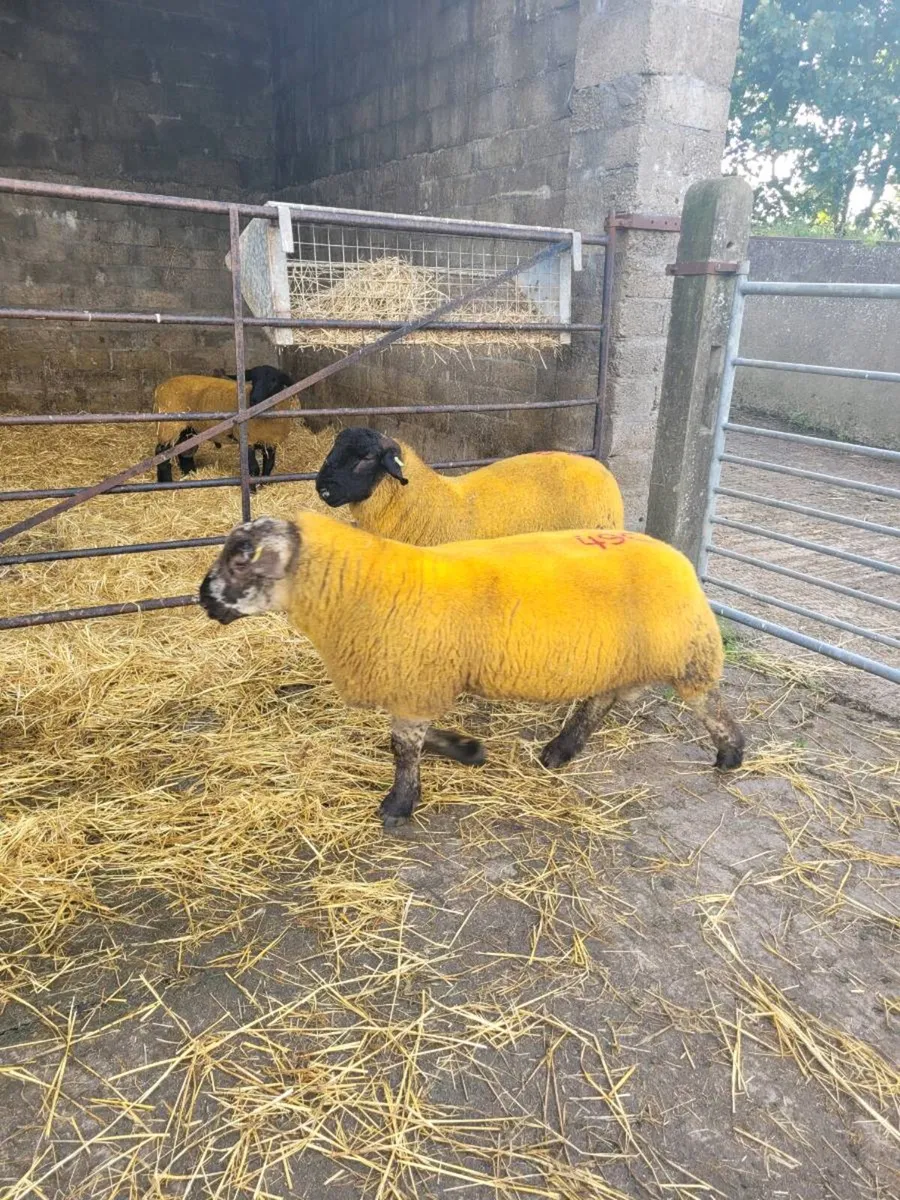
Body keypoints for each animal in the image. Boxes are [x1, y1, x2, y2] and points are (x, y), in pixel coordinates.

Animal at [154, 366, 295, 484]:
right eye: (253, 380)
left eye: (274, 381)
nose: (254, 400)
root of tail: (160, 388)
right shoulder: (247, 440)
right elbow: (253, 469)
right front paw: (253, 491)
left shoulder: (271, 442)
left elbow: (268, 467)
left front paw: (263, 485)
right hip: (169, 426)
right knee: (161, 453)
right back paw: (166, 482)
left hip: (187, 429)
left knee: (184, 453)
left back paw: (190, 475)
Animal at [199, 513, 745, 829]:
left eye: (241, 561)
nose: (203, 599)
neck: (364, 588)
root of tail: (680, 559)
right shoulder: (419, 682)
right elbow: (410, 740)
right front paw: (466, 749)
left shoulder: (415, 680)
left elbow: (402, 749)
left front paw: (398, 805)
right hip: (617, 658)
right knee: (600, 700)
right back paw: (560, 751)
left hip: (687, 653)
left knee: (709, 704)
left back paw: (731, 754)